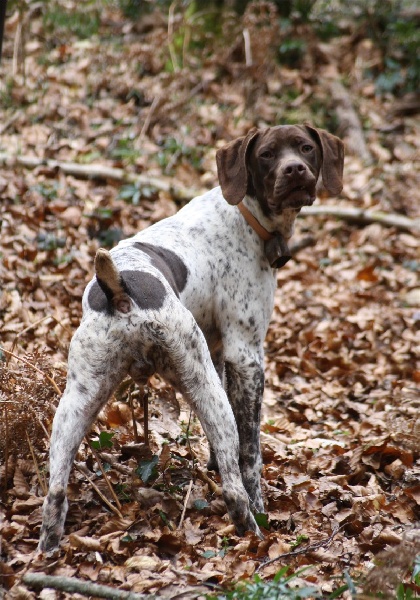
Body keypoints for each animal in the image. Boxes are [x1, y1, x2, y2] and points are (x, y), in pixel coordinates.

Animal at [37, 125, 342, 552]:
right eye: (266, 154)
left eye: (306, 148)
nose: (295, 169)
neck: (245, 214)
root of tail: (120, 290)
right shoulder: (245, 355)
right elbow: (249, 452)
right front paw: (261, 502)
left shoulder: (217, 353)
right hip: (201, 383)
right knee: (234, 490)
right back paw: (253, 534)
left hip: (78, 400)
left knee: (55, 491)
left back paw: (47, 549)